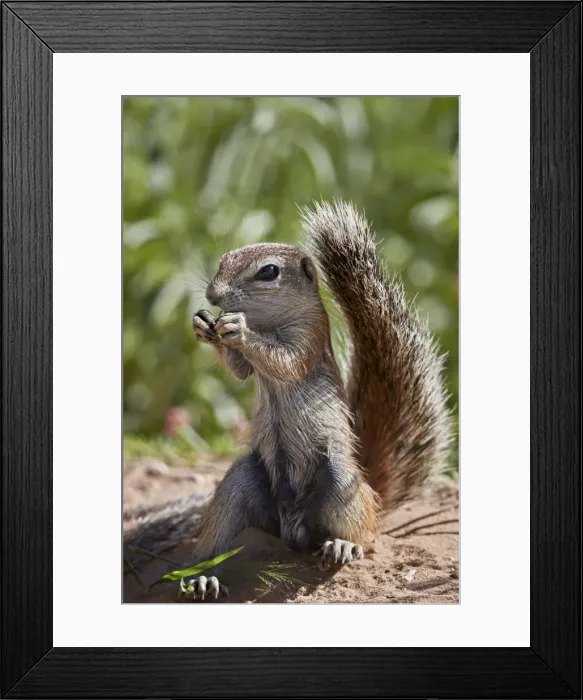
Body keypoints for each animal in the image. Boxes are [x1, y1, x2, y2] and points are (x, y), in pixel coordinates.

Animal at [124, 200, 452, 600]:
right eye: (223, 259)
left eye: (269, 271)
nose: (213, 296)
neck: (266, 323)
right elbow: (240, 371)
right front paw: (204, 326)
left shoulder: (308, 337)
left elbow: (286, 361)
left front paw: (238, 330)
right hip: (242, 481)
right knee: (220, 534)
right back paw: (204, 576)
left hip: (340, 481)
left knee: (361, 533)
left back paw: (343, 544)